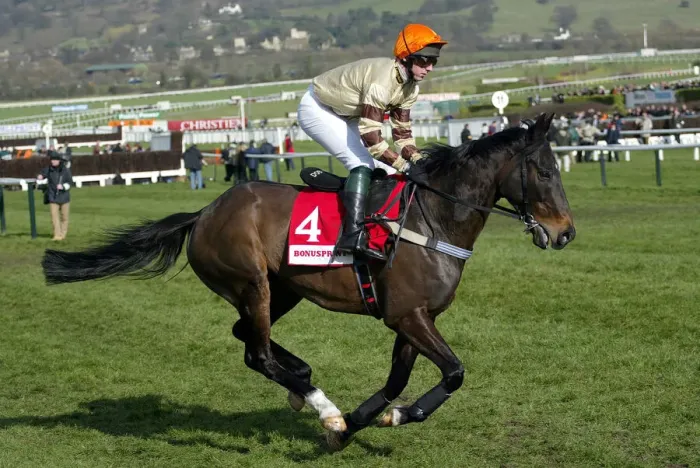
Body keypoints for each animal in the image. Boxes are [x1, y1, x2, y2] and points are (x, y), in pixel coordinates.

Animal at [42, 113, 575, 450]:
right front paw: (379, 417)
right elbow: (454, 372)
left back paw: (302, 381)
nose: (565, 233)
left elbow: (397, 380)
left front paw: (356, 424)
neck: (435, 218)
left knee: (247, 338)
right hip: (252, 283)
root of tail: (204, 212)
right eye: (545, 170)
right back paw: (320, 402)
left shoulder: (412, 318)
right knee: (256, 352)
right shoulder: (408, 315)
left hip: (282, 290)